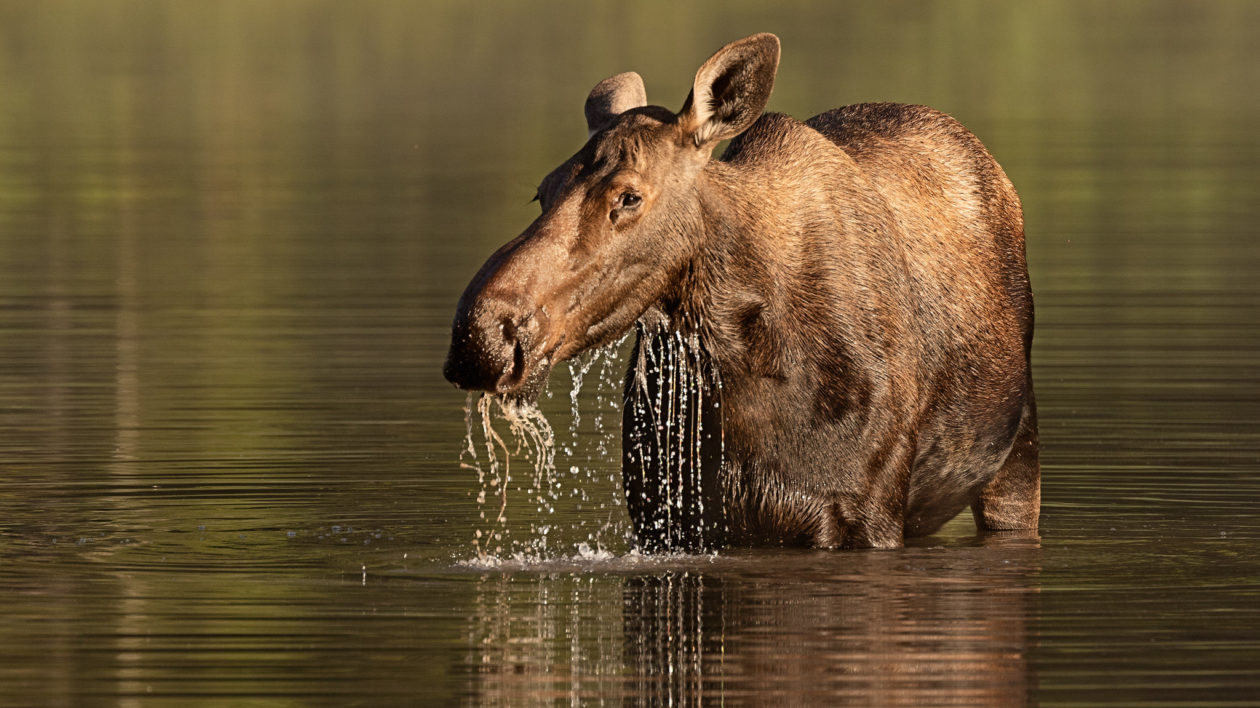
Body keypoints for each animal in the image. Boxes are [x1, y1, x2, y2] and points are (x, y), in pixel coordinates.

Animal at [448, 33, 1038, 551]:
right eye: (542, 191)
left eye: (628, 196)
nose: (481, 337)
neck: (742, 363)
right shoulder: (670, 516)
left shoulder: (866, 513)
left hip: (1016, 455)